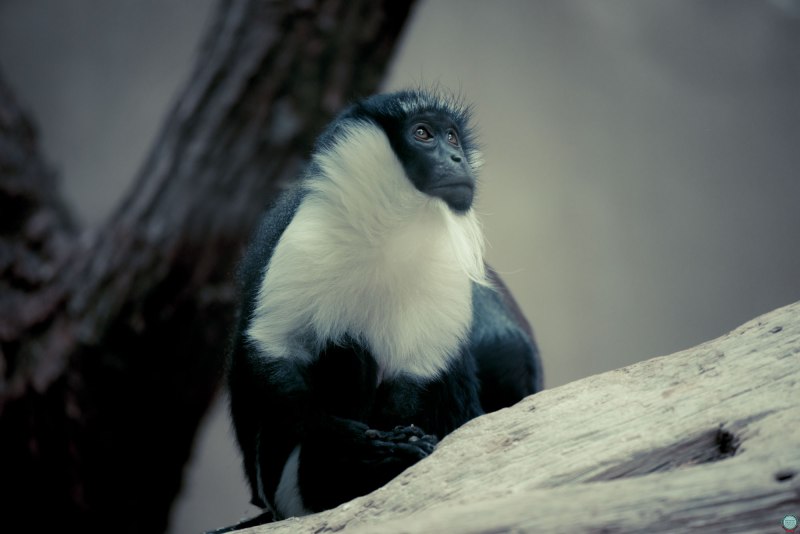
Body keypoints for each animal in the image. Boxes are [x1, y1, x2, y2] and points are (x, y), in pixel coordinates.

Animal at [225, 88, 542, 526]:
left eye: (453, 137)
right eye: (423, 133)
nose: (456, 158)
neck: (389, 227)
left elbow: (422, 368)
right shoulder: (305, 235)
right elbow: (272, 352)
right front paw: (357, 444)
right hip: (290, 489)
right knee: (347, 346)